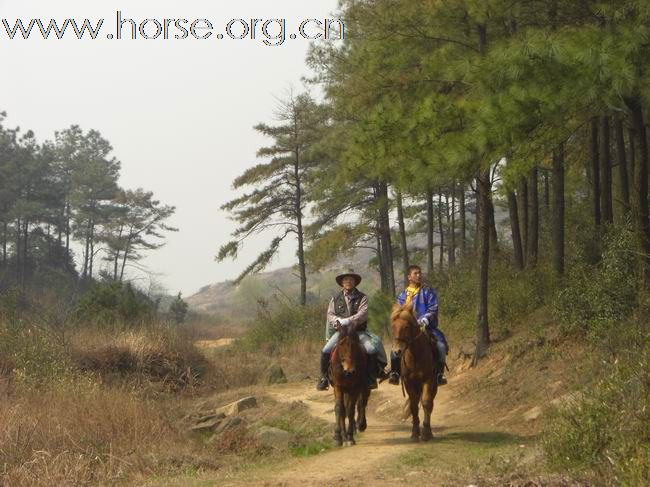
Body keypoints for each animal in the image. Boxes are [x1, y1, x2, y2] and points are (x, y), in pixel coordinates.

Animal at [388, 304, 438, 442]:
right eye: (393, 326)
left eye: (406, 326)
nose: (397, 351)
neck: (415, 355)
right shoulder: (408, 382)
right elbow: (414, 406)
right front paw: (415, 433)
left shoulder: (428, 379)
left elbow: (426, 403)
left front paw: (426, 432)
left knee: (430, 403)